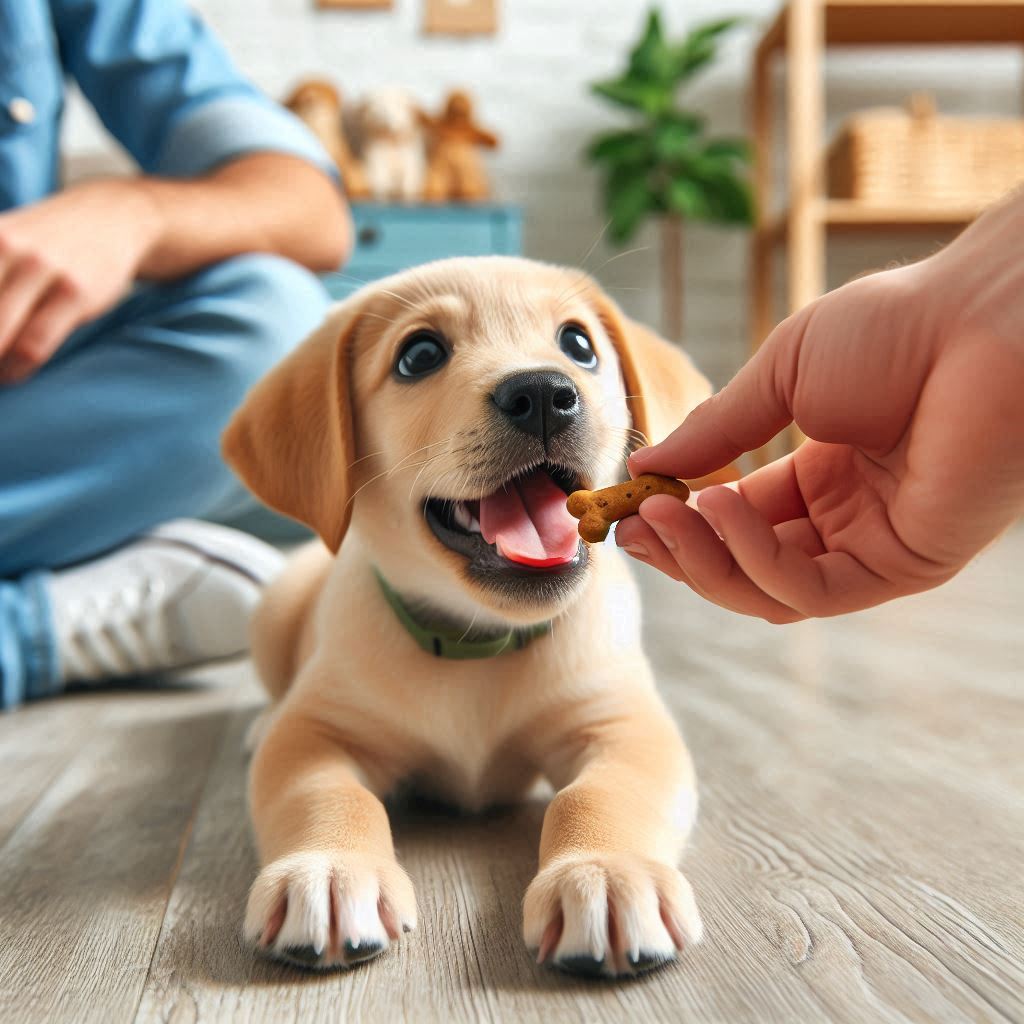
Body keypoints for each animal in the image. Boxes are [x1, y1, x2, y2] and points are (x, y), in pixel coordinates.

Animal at [224, 253, 720, 974]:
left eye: (578, 344)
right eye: (420, 354)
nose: (542, 392)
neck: (479, 642)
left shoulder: (622, 722)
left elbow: (600, 794)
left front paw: (604, 872)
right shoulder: (317, 731)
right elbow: (326, 794)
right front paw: (329, 870)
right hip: (272, 610)